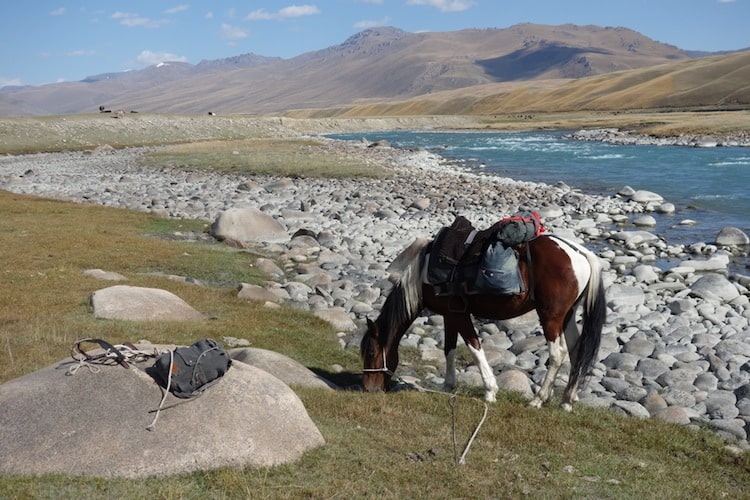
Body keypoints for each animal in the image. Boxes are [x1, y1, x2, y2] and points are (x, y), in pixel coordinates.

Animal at [362, 232, 608, 412]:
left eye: (371, 353)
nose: (368, 389)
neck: (424, 273)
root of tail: (580, 253)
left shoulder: (460, 315)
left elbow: (474, 348)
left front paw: (490, 391)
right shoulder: (450, 315)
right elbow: (449, 349)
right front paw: (448, 385)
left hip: (551, 317)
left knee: (558, 355)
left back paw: (538, 399)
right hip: (567, 316)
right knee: (576, 351)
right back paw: (567, 399)